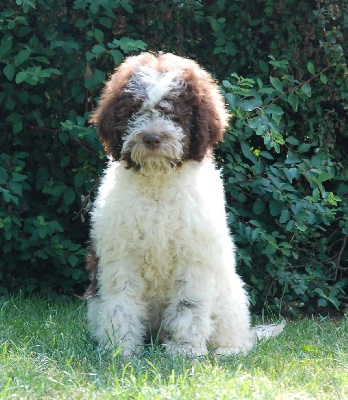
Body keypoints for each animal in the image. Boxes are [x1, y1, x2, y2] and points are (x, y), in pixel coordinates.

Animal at [85, 51, 286, 354]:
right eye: (135, 110)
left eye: (174, 112)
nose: (152, 138)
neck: (158, 183)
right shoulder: (121, 253)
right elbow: (122, 302)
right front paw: (120, 349)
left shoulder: (193, 254)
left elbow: (188, 305)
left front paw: (185, 350)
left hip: (229, 296)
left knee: (234, 333)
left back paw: (229, 351)